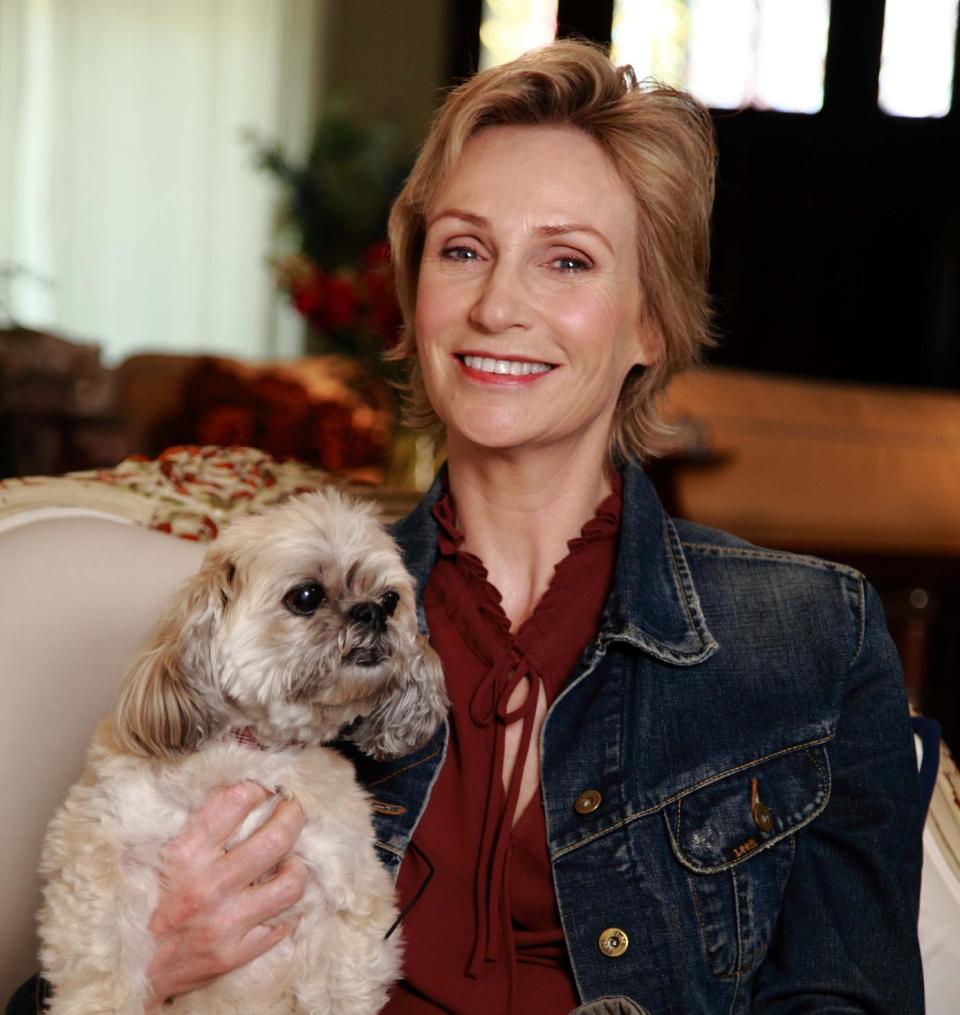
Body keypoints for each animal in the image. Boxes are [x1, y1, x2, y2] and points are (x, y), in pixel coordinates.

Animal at [34, 487, 444, 1010]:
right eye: (306, 596)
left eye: (392, 598)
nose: (373, 611)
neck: (252, 750)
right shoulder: (104, 851)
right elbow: (103, 965)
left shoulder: (346, 895)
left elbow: (342, 988)